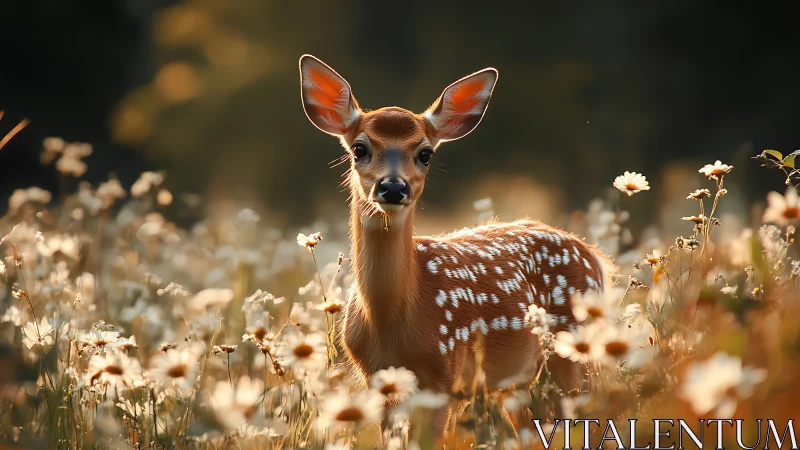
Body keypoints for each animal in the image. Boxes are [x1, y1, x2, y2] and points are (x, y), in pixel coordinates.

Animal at [298, 54, 616, 440]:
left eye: (425, 153)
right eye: (359, 148)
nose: (393, 188)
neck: (395, 315)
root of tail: (596, 257)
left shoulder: (443, 373)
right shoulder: (377, 377)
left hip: (575, 350)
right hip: (518, 383)